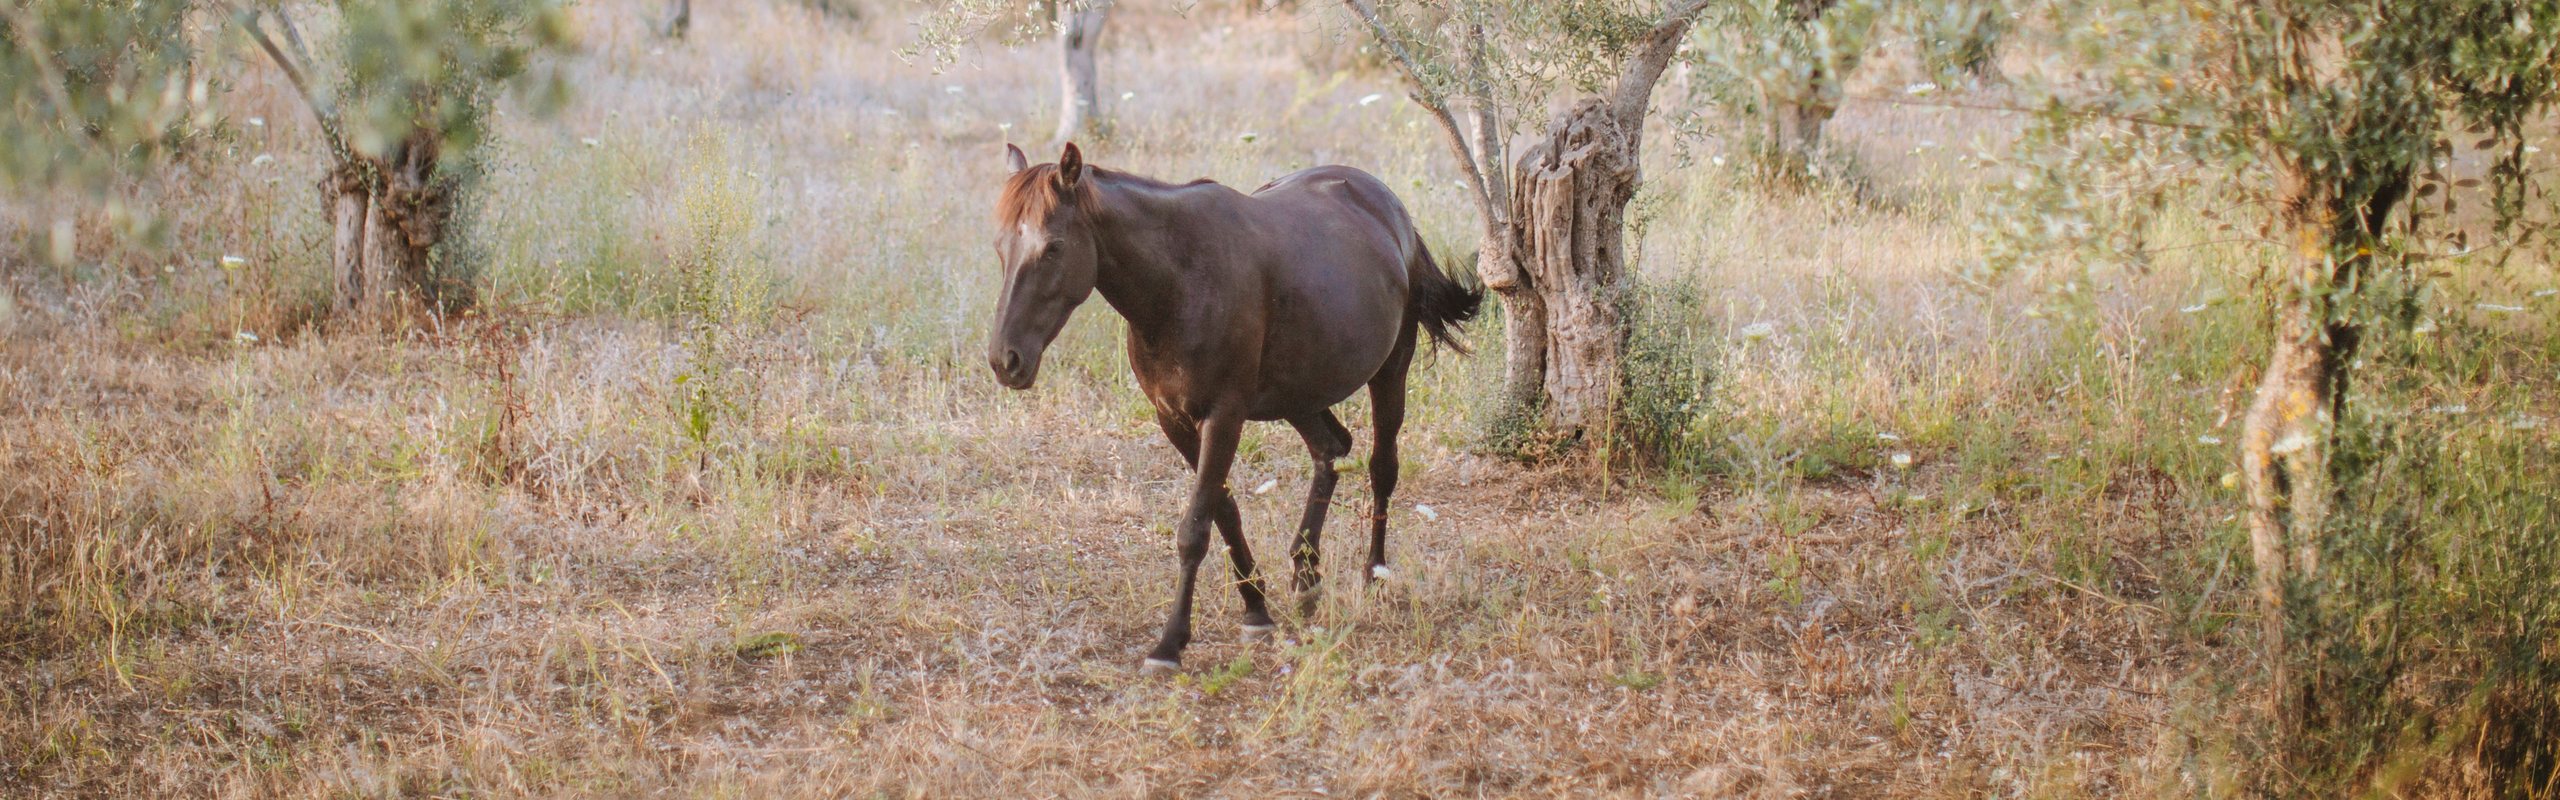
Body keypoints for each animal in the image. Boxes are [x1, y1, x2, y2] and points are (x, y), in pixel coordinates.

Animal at [985, 142, 1482, 675]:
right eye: (1000, 247)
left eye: (1053, 247)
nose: (1005, 360)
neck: (1179, 282)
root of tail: (1391, 209)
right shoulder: (1175, 420)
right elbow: (1223, 512)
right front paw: (1256, 608)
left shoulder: (1224, 416)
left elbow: (1194, 529)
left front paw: (1170, 643)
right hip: (1299, 394)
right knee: (1330, 448)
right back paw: (1306, 573)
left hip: (1390, 370)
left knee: (1381, 466)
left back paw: (1374, 571)